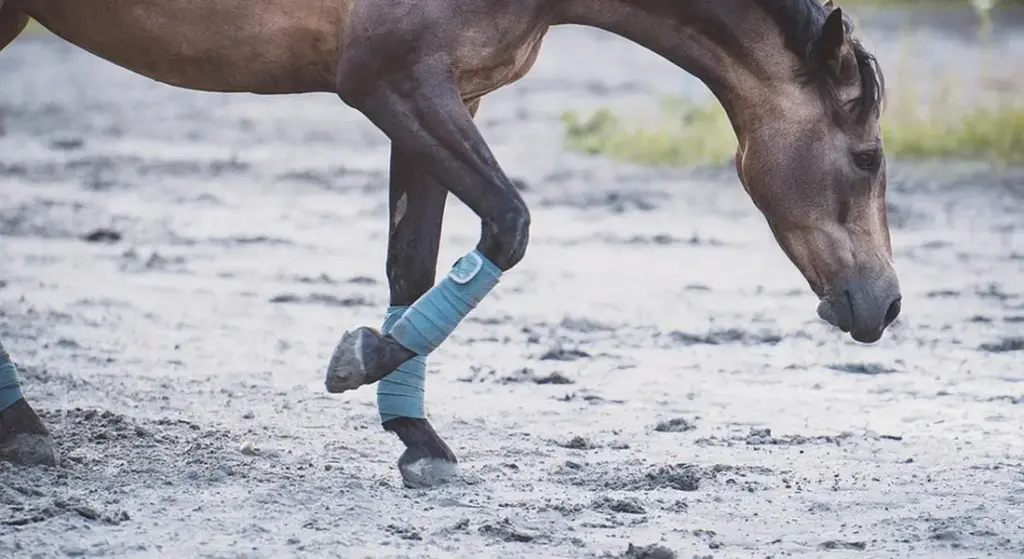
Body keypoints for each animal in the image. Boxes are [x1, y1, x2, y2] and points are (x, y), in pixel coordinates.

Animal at [0, 0, 901, 486]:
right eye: (868, 156)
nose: (886, 304)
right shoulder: (393, 83)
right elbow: (508, 226)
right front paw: (360, 358)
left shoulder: (438, 95)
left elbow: (414, 264)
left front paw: (416, 436)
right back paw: (24, 423)